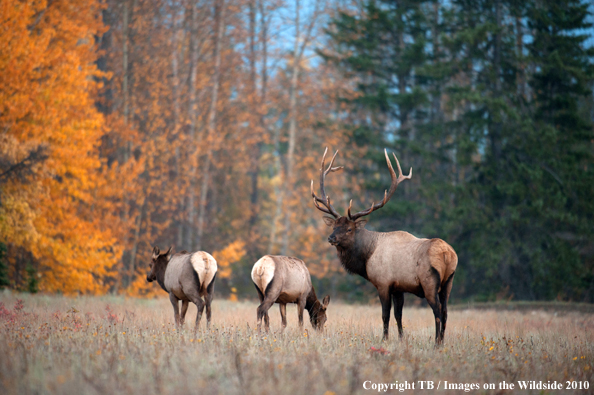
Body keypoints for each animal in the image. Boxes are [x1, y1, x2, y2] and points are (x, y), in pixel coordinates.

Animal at [310, 148, 458, 344]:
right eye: (334, 226)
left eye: (349, 229)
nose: (331, 238)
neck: (366, 257)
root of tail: (447, 254)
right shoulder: (399, 287)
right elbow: (398, 315)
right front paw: (401, 339)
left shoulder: (383, 283)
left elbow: (385, 315)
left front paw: (384, 339)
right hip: (449, 281)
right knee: (446, 311)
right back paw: (441, 342)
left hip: (430, 282)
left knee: (438, 311)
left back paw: (436, 343)